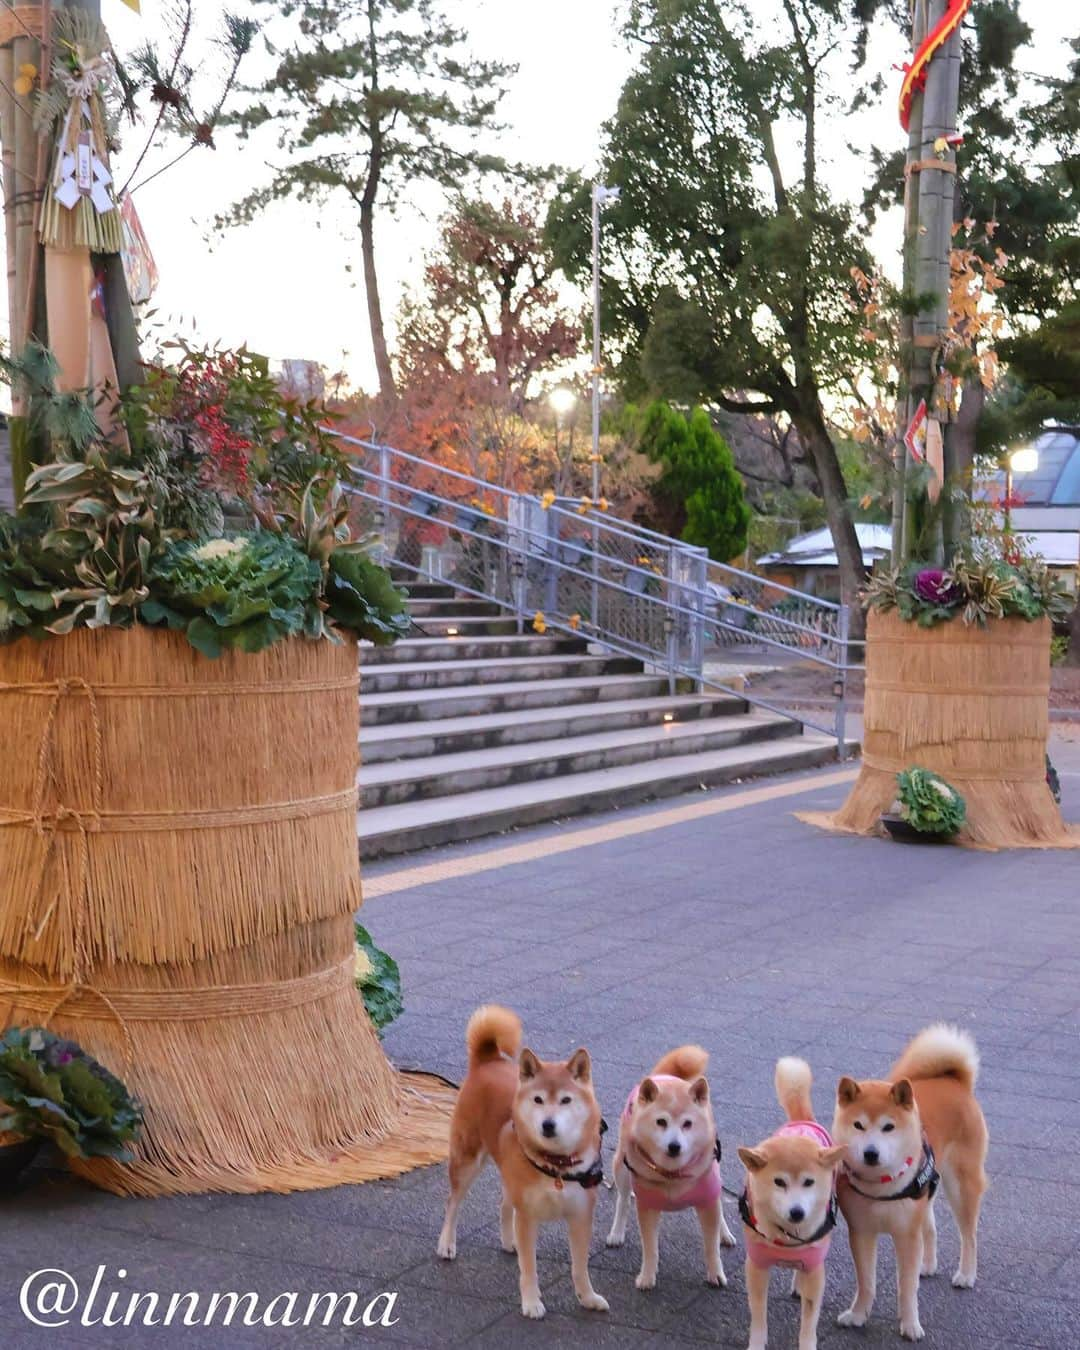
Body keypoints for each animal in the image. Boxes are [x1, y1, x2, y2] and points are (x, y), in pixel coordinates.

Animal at [437, 1009, 607, 1323]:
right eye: (538, 1099)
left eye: (565, 1100)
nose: (548, 1124)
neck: (557, 1165)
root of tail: (488, 1059)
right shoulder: (528, 1217)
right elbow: (529, 1269)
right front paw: (531, 1303)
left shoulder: (580, 1217)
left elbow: (580, 1268)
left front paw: (587, 1298)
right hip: (467, 1160)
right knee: (452, 1203)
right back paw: (446, 1244)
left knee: (505, 1204)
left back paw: (509, 1241)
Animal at [607, 1042, 734, 1285]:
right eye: (661, 1122)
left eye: (687, 1124)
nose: (674, 1146)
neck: (672, 1173)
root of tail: (666, 1076)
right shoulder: (647, 1207)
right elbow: (650, 1248)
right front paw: (647, 1276)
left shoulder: (708, 1200)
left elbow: (711, 1246)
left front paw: (716, 1273)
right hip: (622, 1166)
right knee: (623, 1199)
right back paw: (616, 1232)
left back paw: (725, 1233)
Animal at [739, 1058, 847, 1350]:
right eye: (779, 1182)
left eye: (809, 1182)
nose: (797, 1212)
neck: (786, 1237)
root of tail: (802, 1121)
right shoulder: (757, 1265)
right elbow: (758, 1315)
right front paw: (756, 1343)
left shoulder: (815, 1269)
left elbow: (809, 1322)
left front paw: (807, 1344)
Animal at [831, 1020, 993, 1339]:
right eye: (858, 1125)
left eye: (888, 1127)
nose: (870, 1153)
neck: (880, 1186)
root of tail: (954, 1082)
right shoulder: (861, 1231)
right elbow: (866, 1282)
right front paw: (858, 1315)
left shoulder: (905, 1235)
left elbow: (907, 1288)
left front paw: (910, 1325)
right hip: (925, 1192)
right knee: (929, 1226)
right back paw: (927, 1264)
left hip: (961, 1185)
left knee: (968, 1234)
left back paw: (966, 1274)